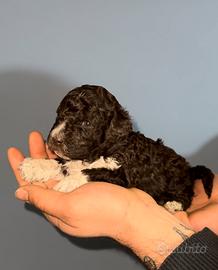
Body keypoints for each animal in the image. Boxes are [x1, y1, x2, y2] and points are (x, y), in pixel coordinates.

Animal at [20, 84, 215, 211]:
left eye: (86, 123)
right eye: (59, 116)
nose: (55, 139)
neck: (100, 152)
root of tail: (189, 169)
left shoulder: (121, 176)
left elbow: (92, 172)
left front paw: (69, 182)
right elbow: (61, 163)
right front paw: (35, 166)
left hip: (176, 177)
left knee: (186, 193)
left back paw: (174, 203)